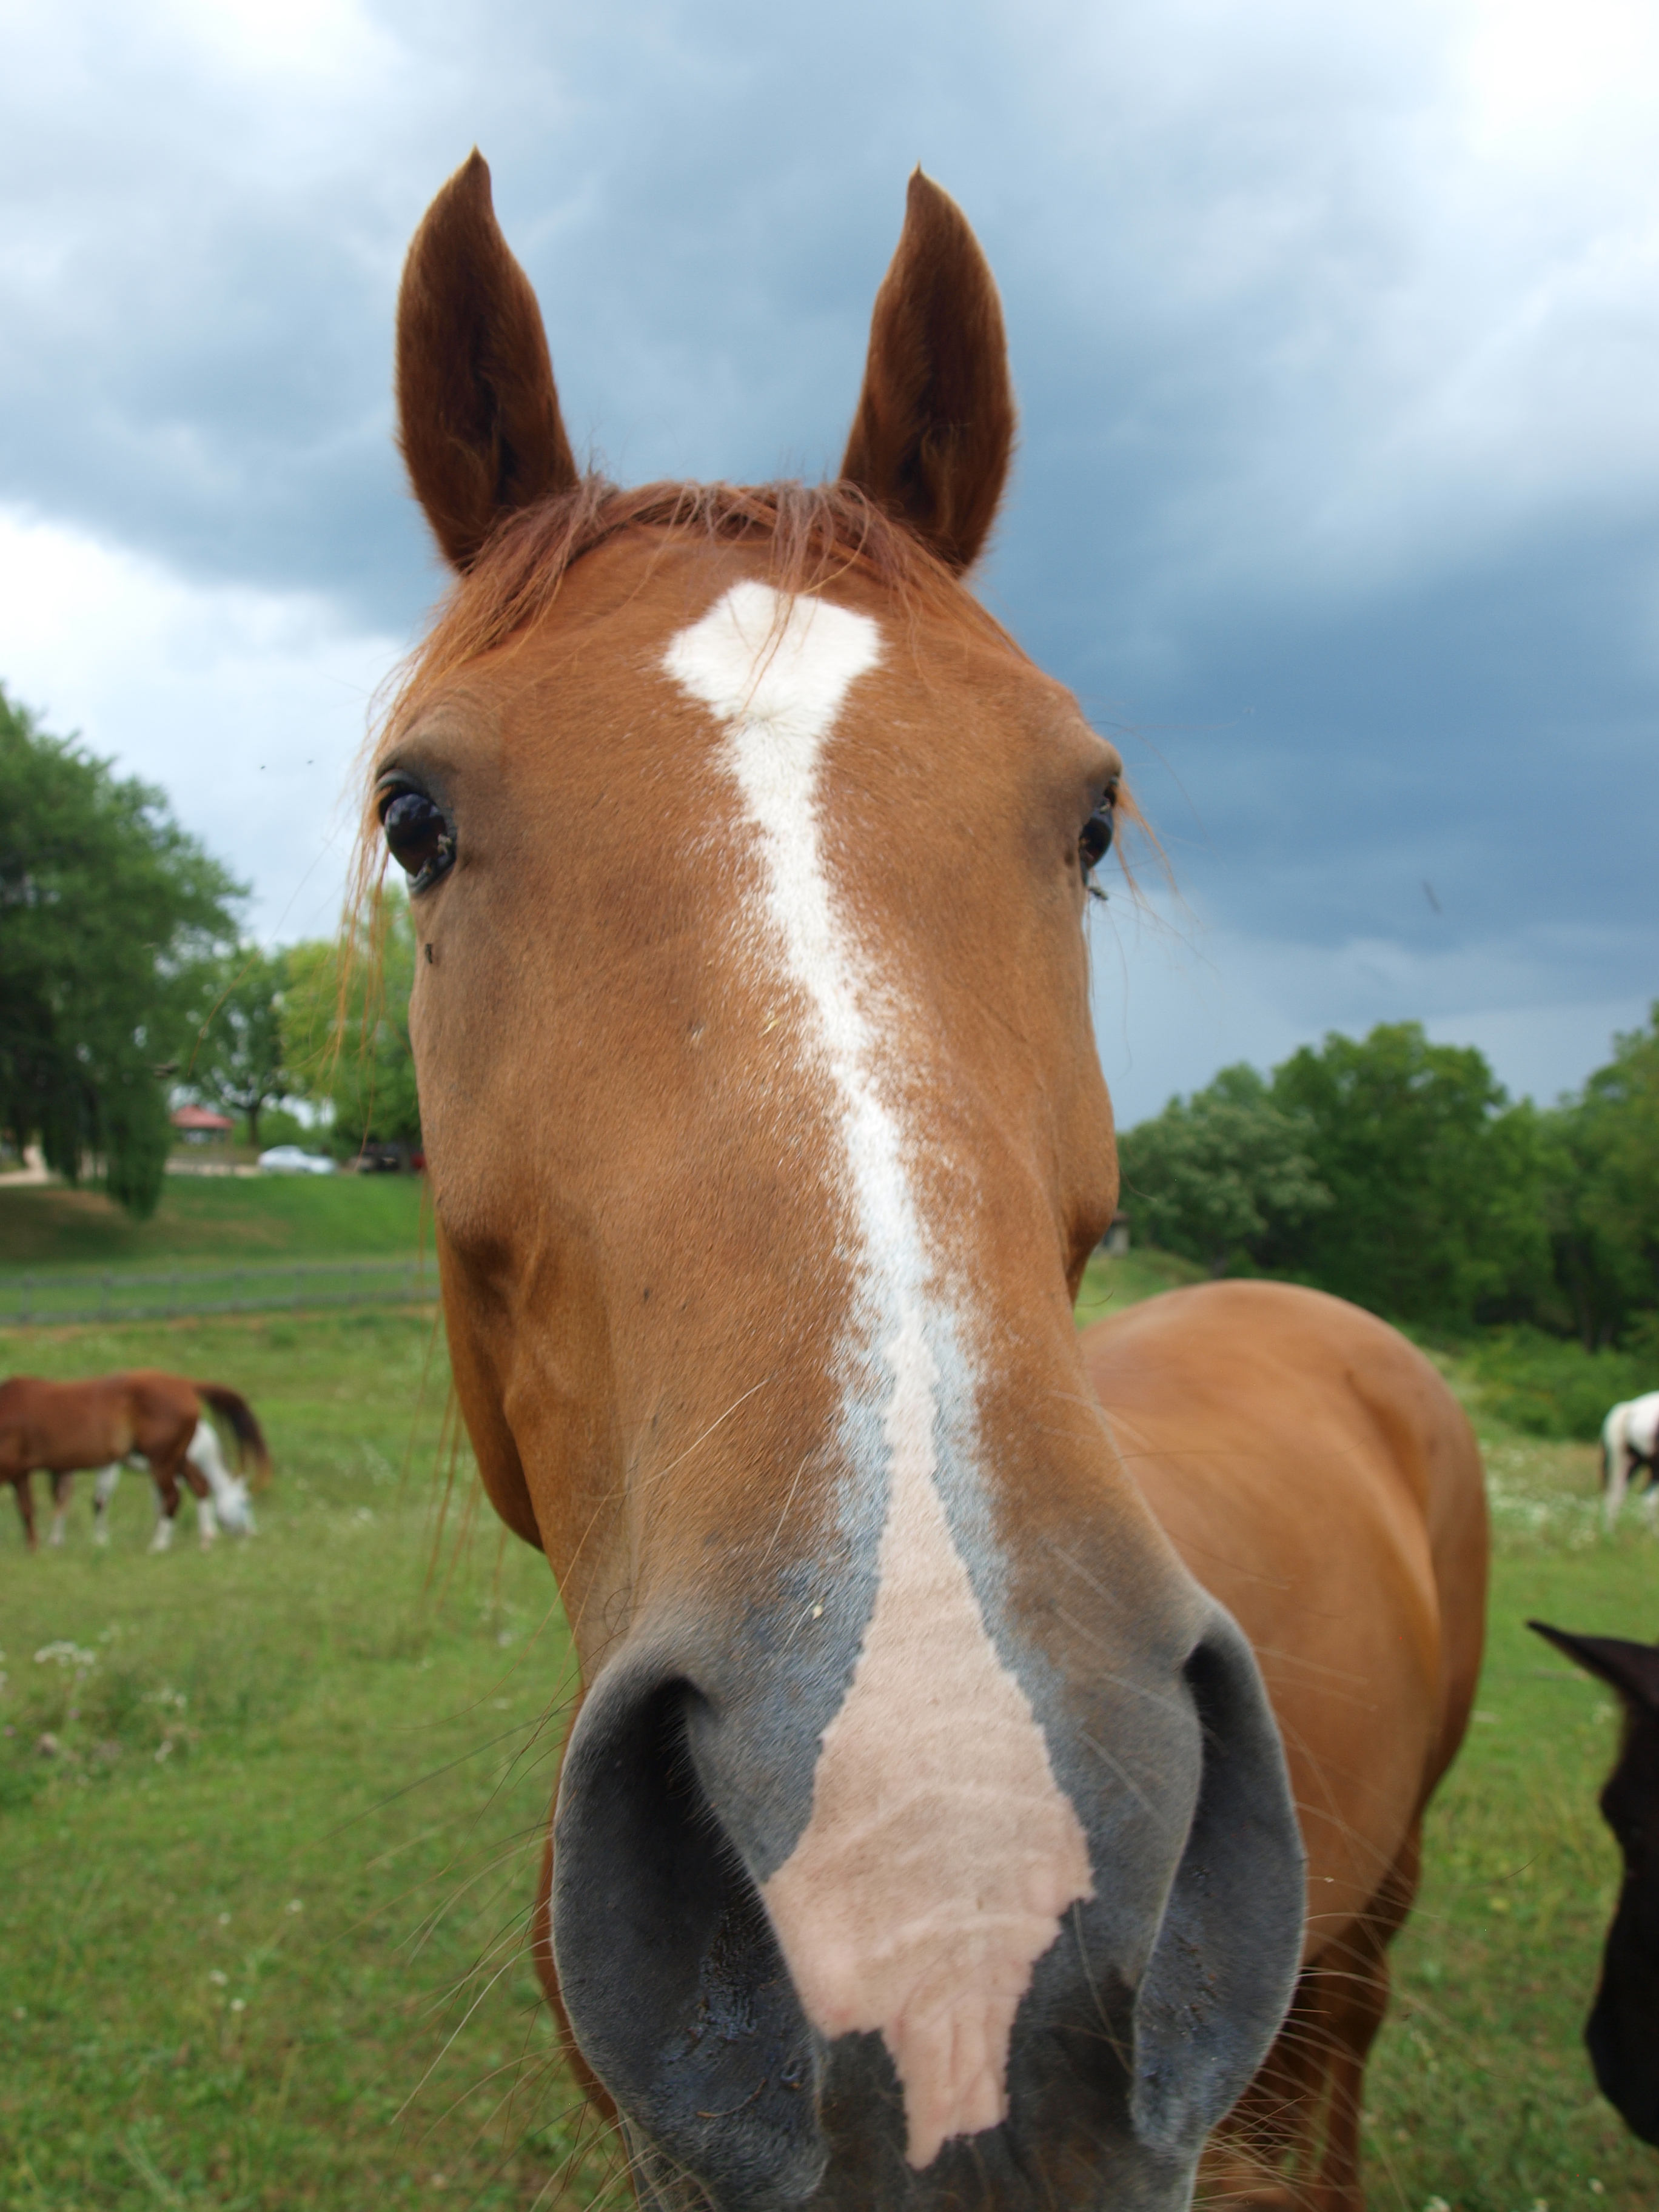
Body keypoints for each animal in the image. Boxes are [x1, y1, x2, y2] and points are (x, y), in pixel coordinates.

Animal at [2, 1362, 270, 1557]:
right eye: (246, 1503)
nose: (252, 1533)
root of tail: (186, 1384)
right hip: (175, 1460)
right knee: (198, 1487)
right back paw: (202, 1538)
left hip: (164, 1461)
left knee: (174, 1497)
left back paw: (160, 1545)